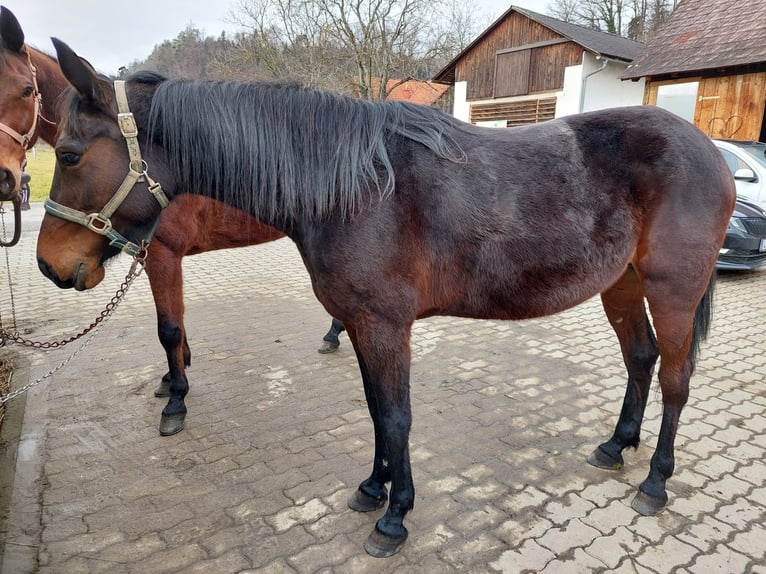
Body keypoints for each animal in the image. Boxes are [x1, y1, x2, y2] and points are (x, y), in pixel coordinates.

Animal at [0, 5, 344, 436]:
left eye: (22, 90)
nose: (49, 264)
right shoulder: (154, 257)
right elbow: (175, 319)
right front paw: (172, 376)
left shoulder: (163, 255)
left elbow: (168, 328)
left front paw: (177, 398)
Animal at [37, 39, 736, 560]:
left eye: (69, 154)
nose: (49, 264)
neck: (356, 187)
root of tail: (710, 150)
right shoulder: (358, 324)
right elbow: (376, 411)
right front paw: (374, 487)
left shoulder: (383, 325)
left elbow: (396, 416)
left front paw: (395, 518)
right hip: (622, 283)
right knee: (641, 359)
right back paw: (617, 446)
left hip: (673, 290)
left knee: (675, 380)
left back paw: (655, 480)